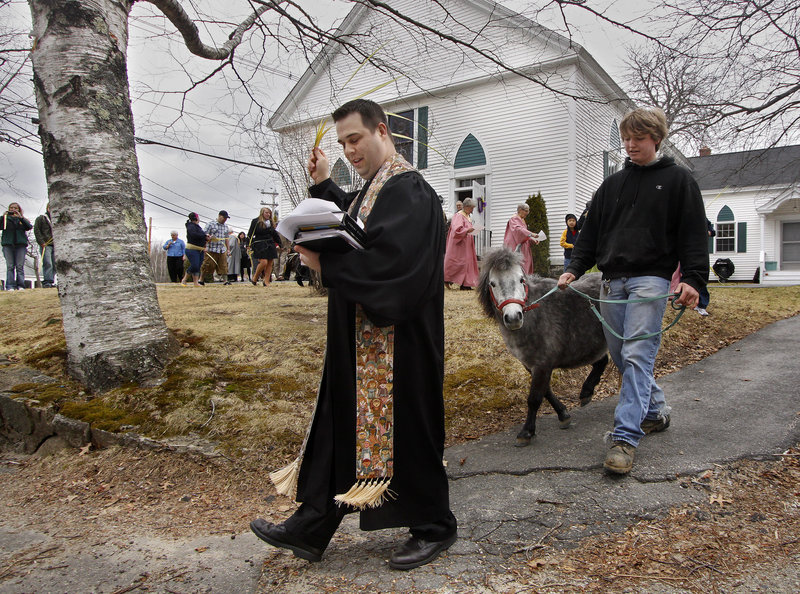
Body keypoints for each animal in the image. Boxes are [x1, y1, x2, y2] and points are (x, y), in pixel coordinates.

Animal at [478, 245, 608, 444]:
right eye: (493, 283)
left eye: (521, 279)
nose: (513, 317)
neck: (535, 316)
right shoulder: (531, 365)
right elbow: (545, 391)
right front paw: (563, 415)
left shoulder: (542, 364)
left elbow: (534, 398)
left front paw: (527, 431)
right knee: (602, 362)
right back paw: (586, 392)